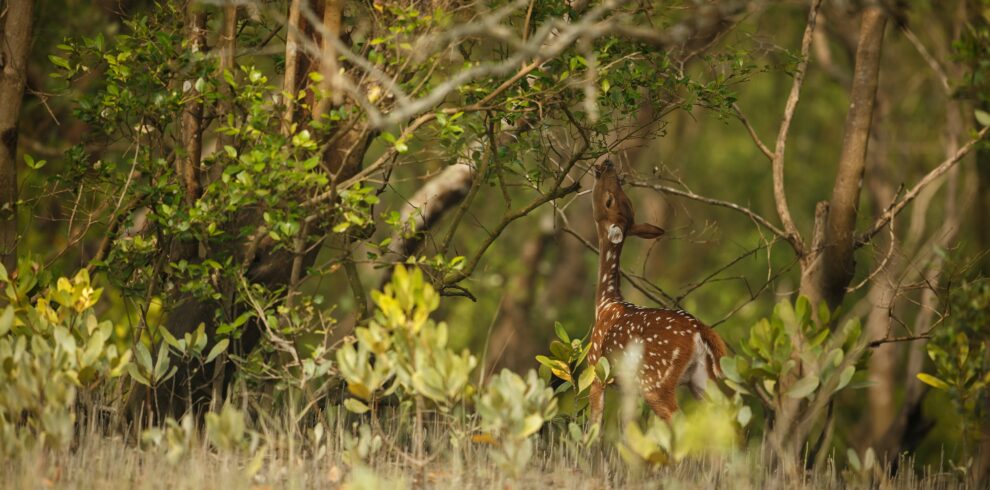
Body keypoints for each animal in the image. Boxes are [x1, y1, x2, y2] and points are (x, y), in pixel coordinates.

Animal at [588, 160, 728, 422]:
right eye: (623, 198)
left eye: (608, 200)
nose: (608, 164)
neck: (605, 304)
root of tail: (700, 330)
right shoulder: (626, 387)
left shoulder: (595, 369)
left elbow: (594, 424)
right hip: (702, 379)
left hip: (655, 380)